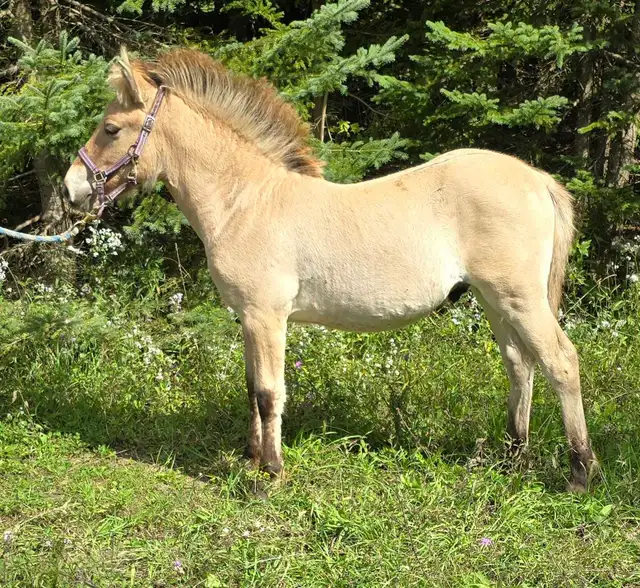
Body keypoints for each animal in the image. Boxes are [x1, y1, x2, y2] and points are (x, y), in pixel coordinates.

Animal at [63, 47, 597, 492]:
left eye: (111, 129)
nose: (71, 190)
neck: (246, 201)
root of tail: (538, 179)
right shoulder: (248, 318)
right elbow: (251, 387)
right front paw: (252, 459)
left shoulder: (267, 317)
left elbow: (269, 392)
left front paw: (270, 474)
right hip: (493, 300)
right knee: (520, 365)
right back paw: (511, 459)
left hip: (519, 298)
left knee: (561, 362)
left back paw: (579, 473)